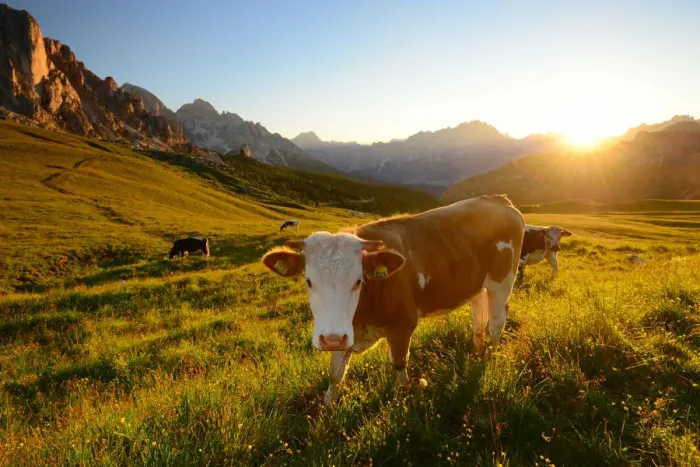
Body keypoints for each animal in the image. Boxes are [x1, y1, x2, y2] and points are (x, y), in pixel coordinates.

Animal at [262, 195, 524, 405]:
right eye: (308, 281)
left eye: (358, 281)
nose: (332, 339)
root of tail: (498, 199)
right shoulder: (344, 331)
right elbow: (335, 375)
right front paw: (326, 410)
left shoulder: (403, 325)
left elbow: (399, 364)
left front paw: (406, 397)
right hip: (477, 285)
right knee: (479, 317)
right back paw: (476, 349)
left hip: (502, 280)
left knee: (497, 320)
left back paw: (489, 356)